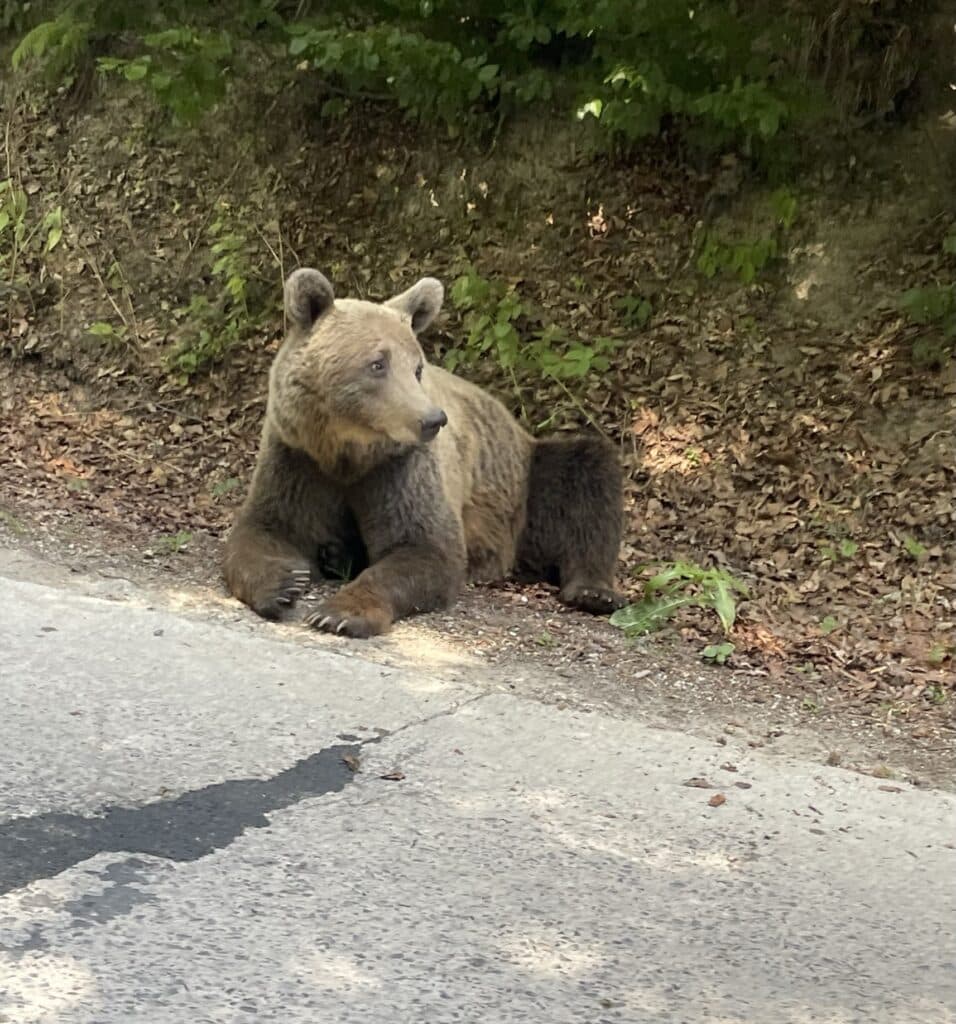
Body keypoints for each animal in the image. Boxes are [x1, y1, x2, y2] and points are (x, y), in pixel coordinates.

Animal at [222, 267, 625, 638]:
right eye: (377, 364)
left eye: (417, 367)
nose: (433, 419)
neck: (347, 451)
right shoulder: (298, 458)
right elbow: (265, 528)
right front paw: (282, 586)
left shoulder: (401, 468)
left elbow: (426, 549)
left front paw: (339, 613)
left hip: (526, 479)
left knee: (588, 473)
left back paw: (594, 590)